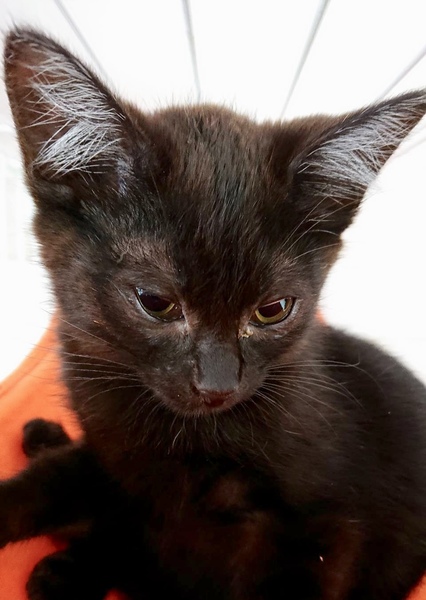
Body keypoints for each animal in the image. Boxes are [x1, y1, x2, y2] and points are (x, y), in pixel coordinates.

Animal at [2, 27, 426, 600]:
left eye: (273, 310)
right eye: (156, 303)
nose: (217, 386)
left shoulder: (326, 529)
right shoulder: (116, 461)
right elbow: (55, 487)